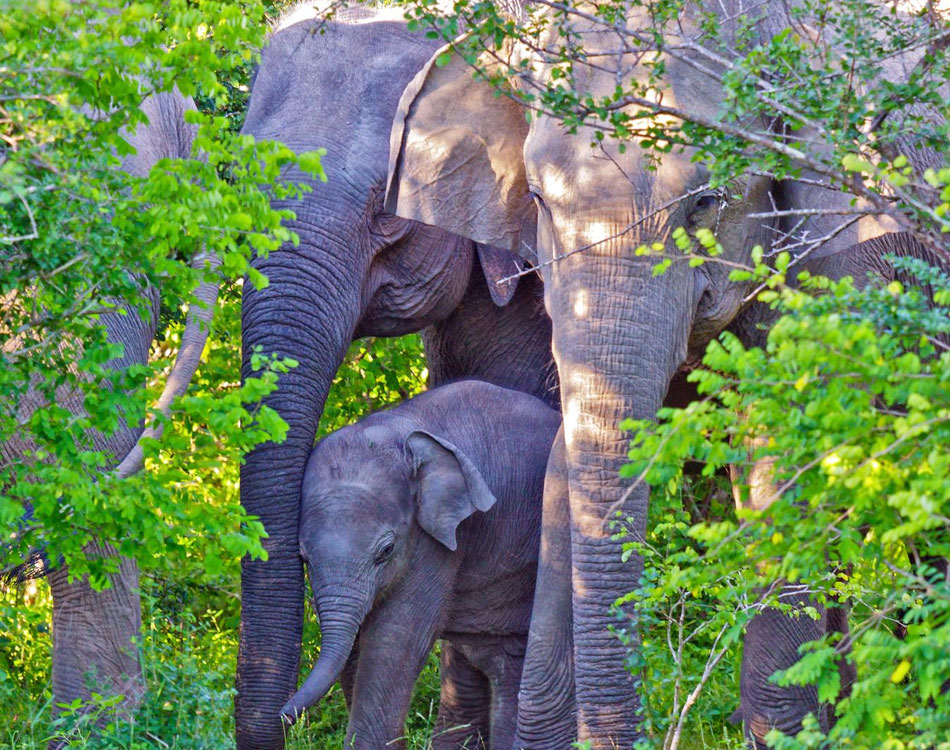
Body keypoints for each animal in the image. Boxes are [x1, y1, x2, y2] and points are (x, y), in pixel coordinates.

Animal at [384, 1, 945, 746]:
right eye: (538, 200)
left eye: (705, 203)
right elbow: (567, 458)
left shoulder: (840, 248)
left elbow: (780, 450)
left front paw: (783, 732)